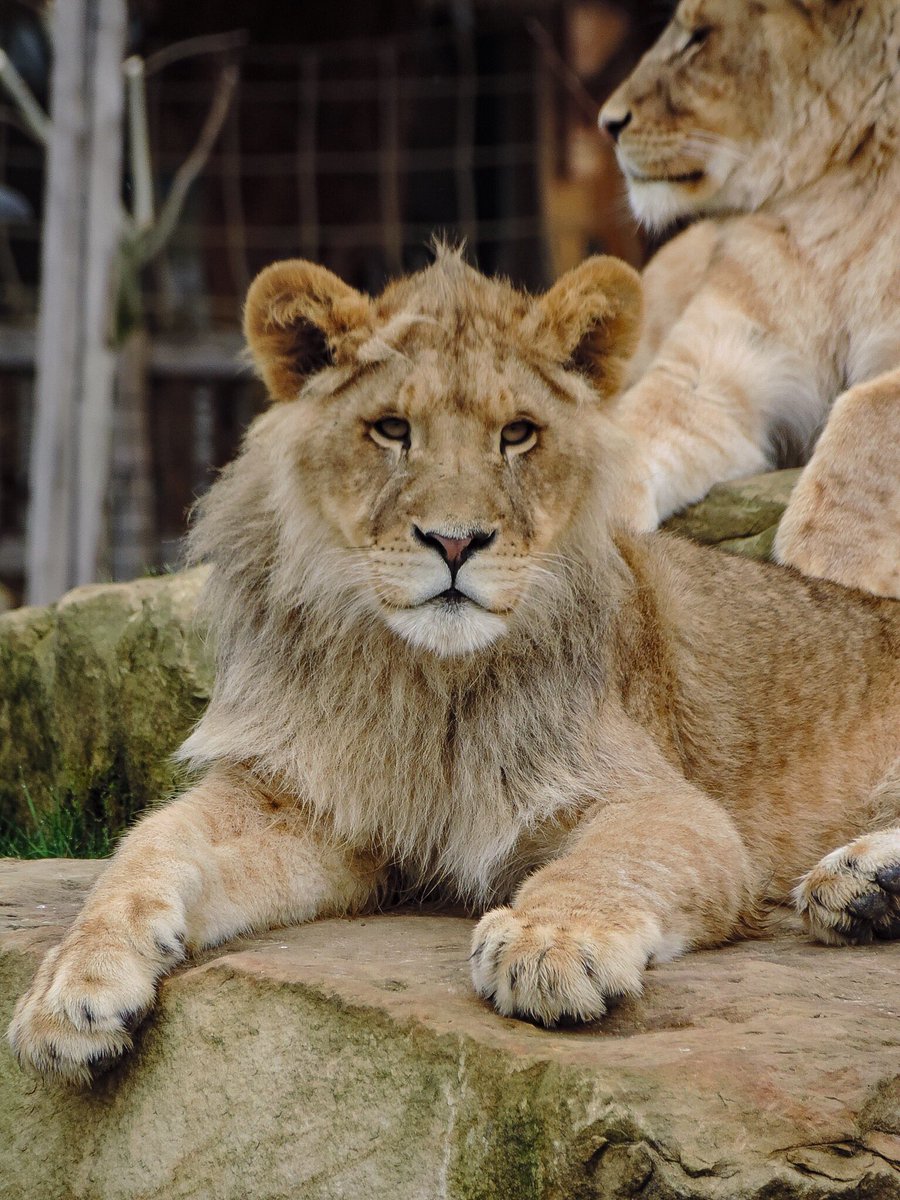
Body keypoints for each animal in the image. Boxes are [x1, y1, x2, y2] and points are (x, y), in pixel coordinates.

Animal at [8, 249, 900, 1086]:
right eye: (392, 429)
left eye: (518, 434)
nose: (455, 541)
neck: (422, 681)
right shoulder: (316, 806)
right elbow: (148, 845)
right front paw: (72, 990)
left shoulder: (671, 808)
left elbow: (607, 862)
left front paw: (550, 945)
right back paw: (868, 895)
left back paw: (857, 881)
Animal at [599, 0, 900, 598]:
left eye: (698, 37)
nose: (608, 123)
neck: (845, 193)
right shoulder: (708, 372)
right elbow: (623, 432)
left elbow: (872, 409)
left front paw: (835, 563)